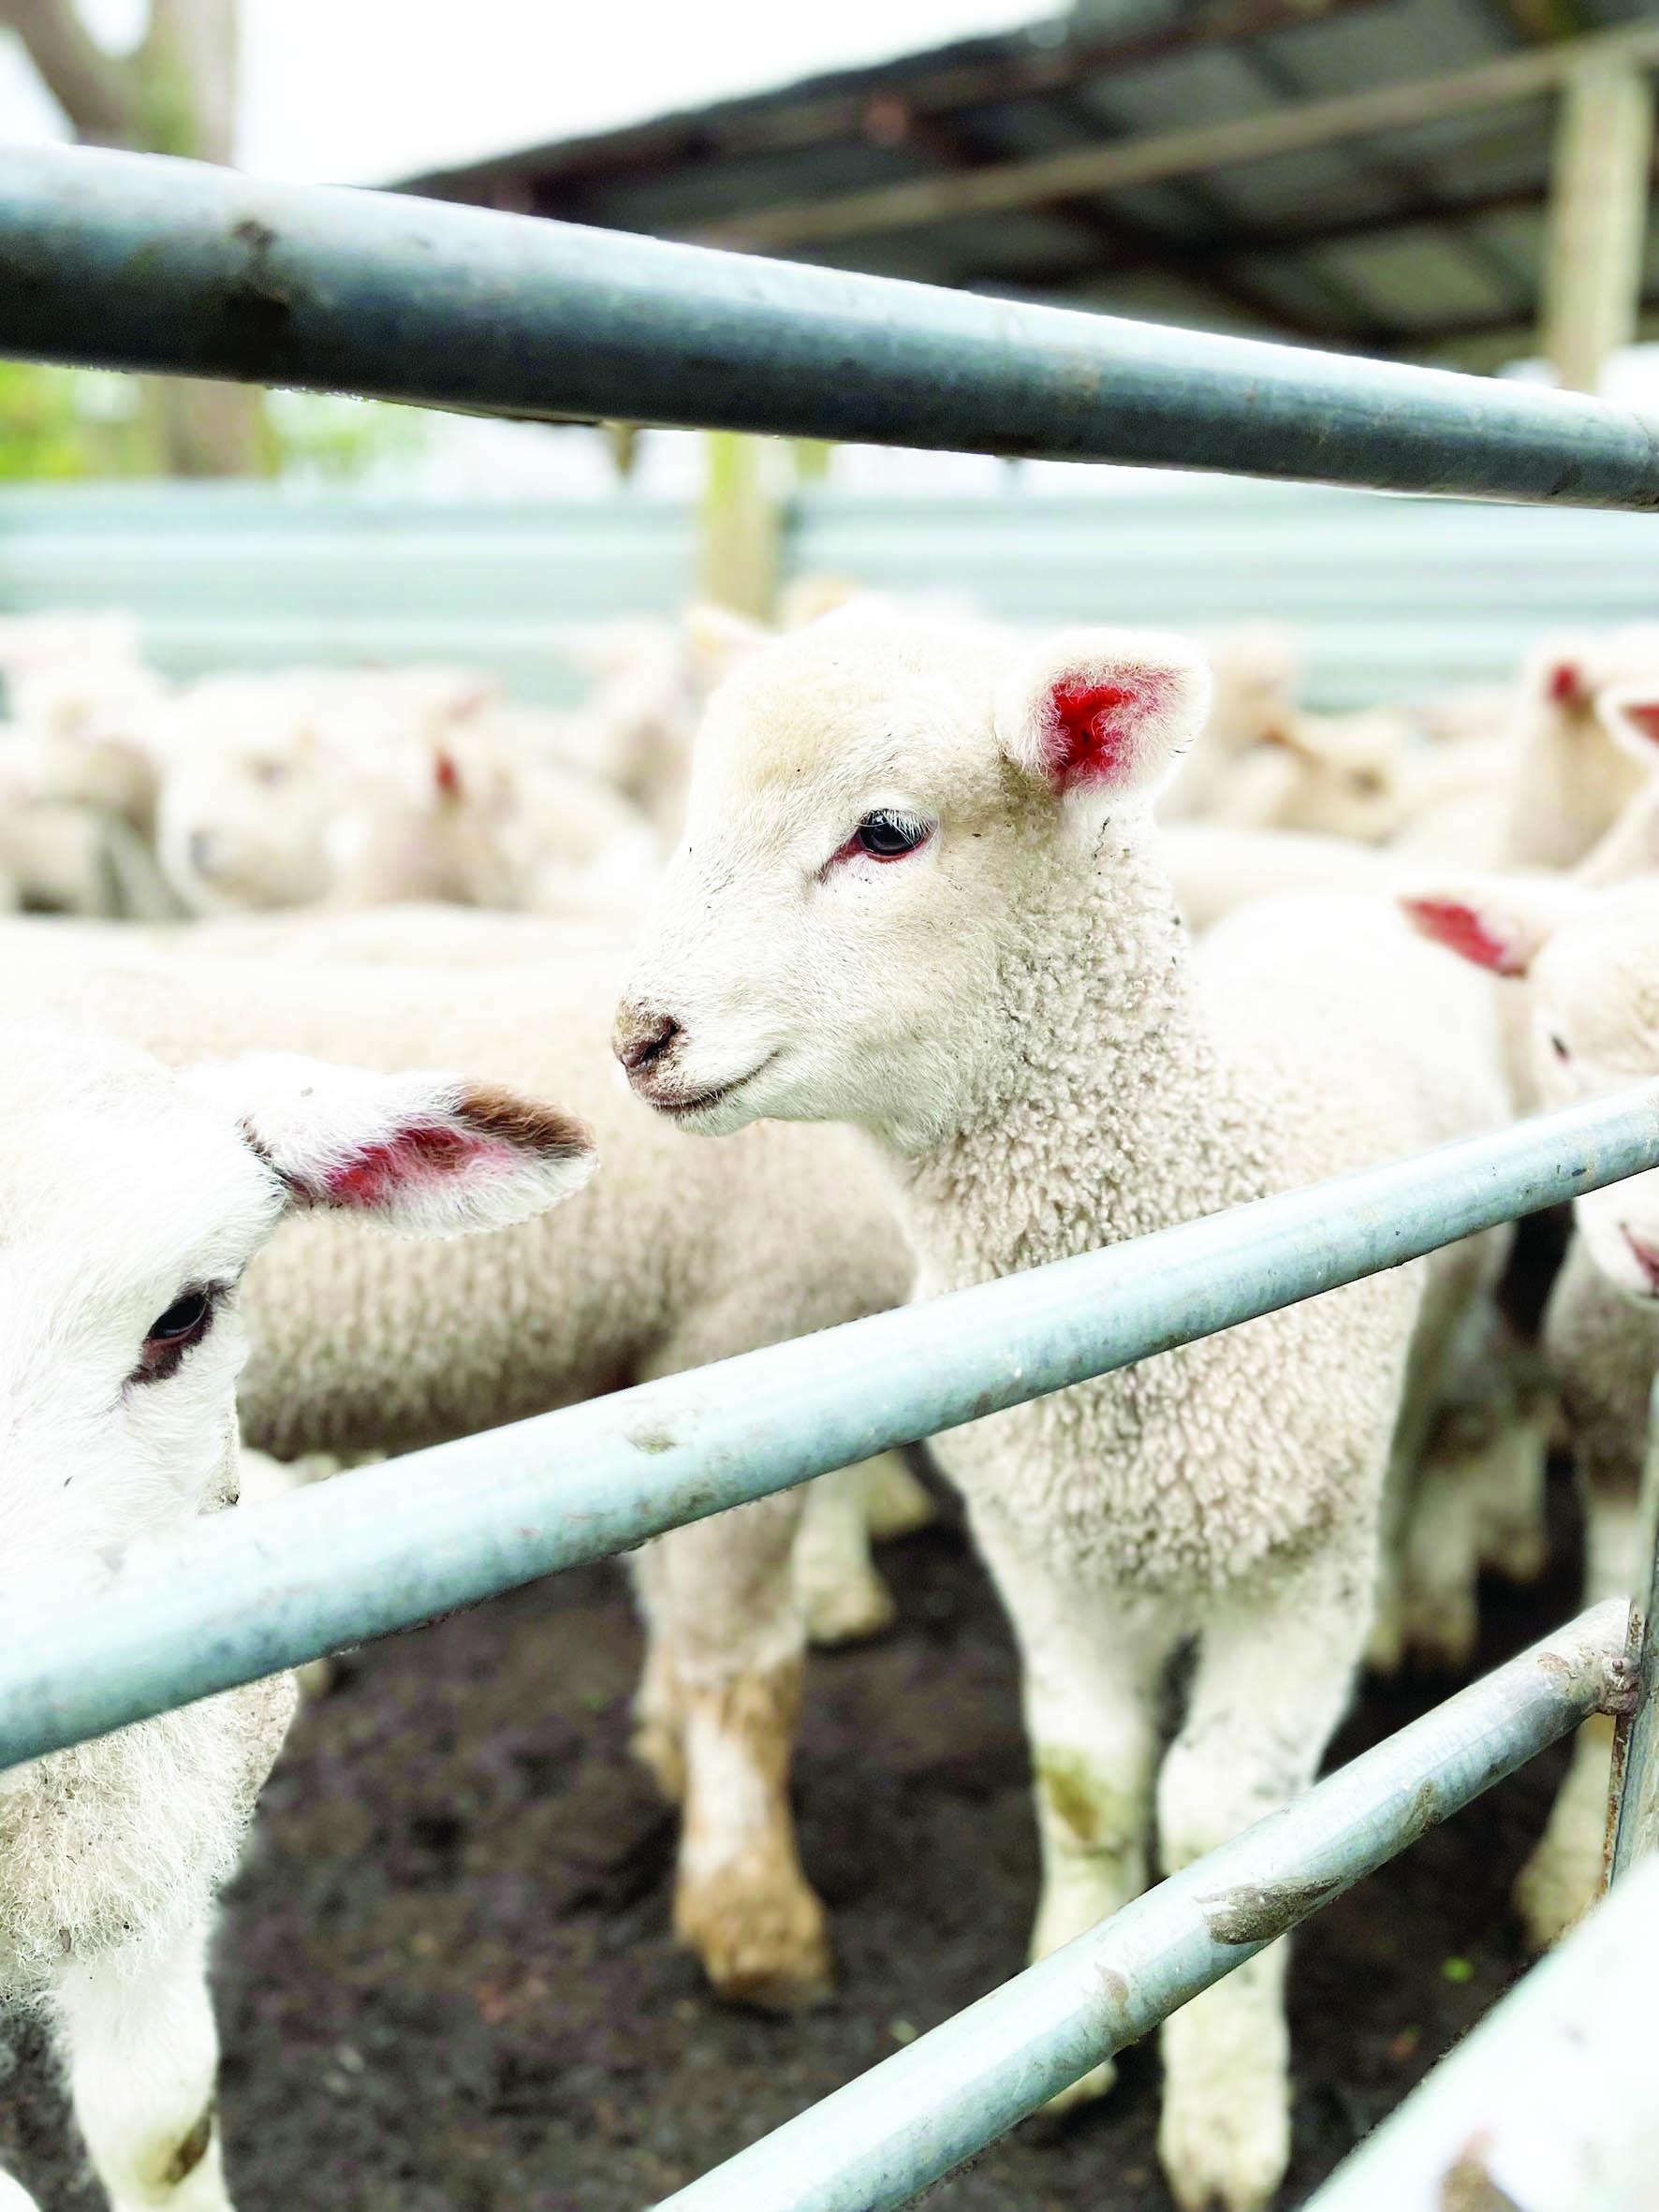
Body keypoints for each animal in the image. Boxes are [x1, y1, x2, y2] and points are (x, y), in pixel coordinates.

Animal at [0, 934, 914, 2011]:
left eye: (180, 1313)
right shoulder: (751, 1337)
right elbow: (739, 1659)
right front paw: (755, 1913)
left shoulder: (654, 1370)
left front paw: (665, 1745)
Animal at [613, 605, 1510, 2212]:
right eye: (690, 809)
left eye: (887, 832)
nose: (639, 1032)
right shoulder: (1044, 1546)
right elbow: (1088, 1779)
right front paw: (1072, 2022)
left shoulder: (1294, 1571)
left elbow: (1227, 1824)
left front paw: (1223, 2110)